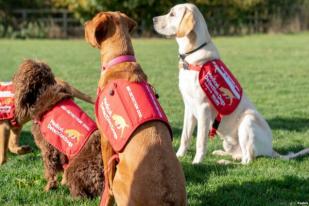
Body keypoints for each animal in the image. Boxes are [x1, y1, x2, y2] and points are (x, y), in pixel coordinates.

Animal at [13, 59, 104, 198]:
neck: (43, 92)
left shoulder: (48, 148)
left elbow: (50, 171)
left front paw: (48, 188)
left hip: (75, 168)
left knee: (82, 194)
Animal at [84, 12, 186, 205]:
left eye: (93, 18)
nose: (84, 23)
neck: (120, 59)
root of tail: (165, 198)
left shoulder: (106, 139)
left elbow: (107, 179)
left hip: (120, 180)